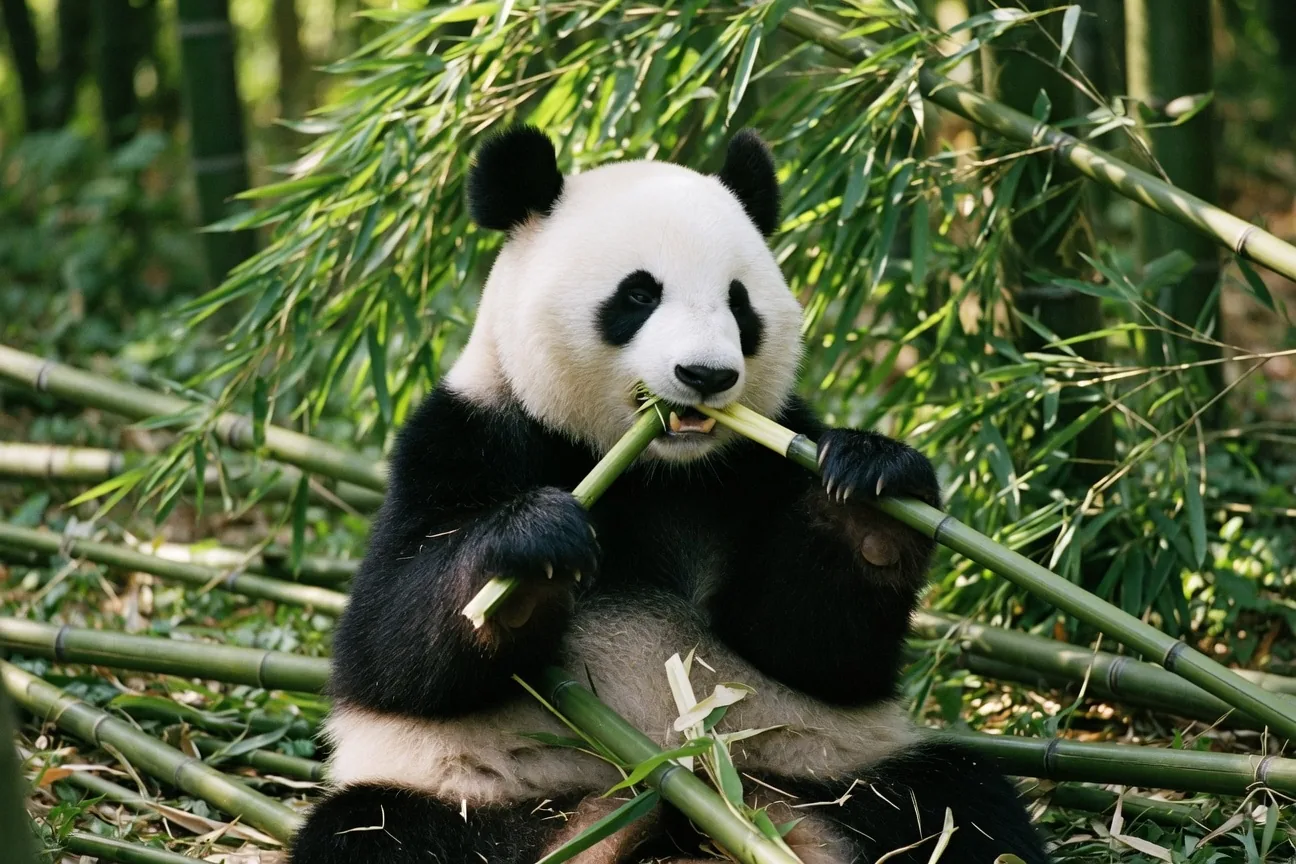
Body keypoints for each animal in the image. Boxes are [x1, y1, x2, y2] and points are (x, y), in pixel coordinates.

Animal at [287, 126, 1051, 864]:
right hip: (483, 798)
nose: (706, 375)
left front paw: (868, 494)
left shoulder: (761, 462)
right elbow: (386, 645)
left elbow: (813, 646)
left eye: (740, 302)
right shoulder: (466, 438)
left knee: (957, 803)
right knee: (374, 833)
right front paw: (531, 557)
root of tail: (666, 811)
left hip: (816, 776)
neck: (655, 466)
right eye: (638, 295)